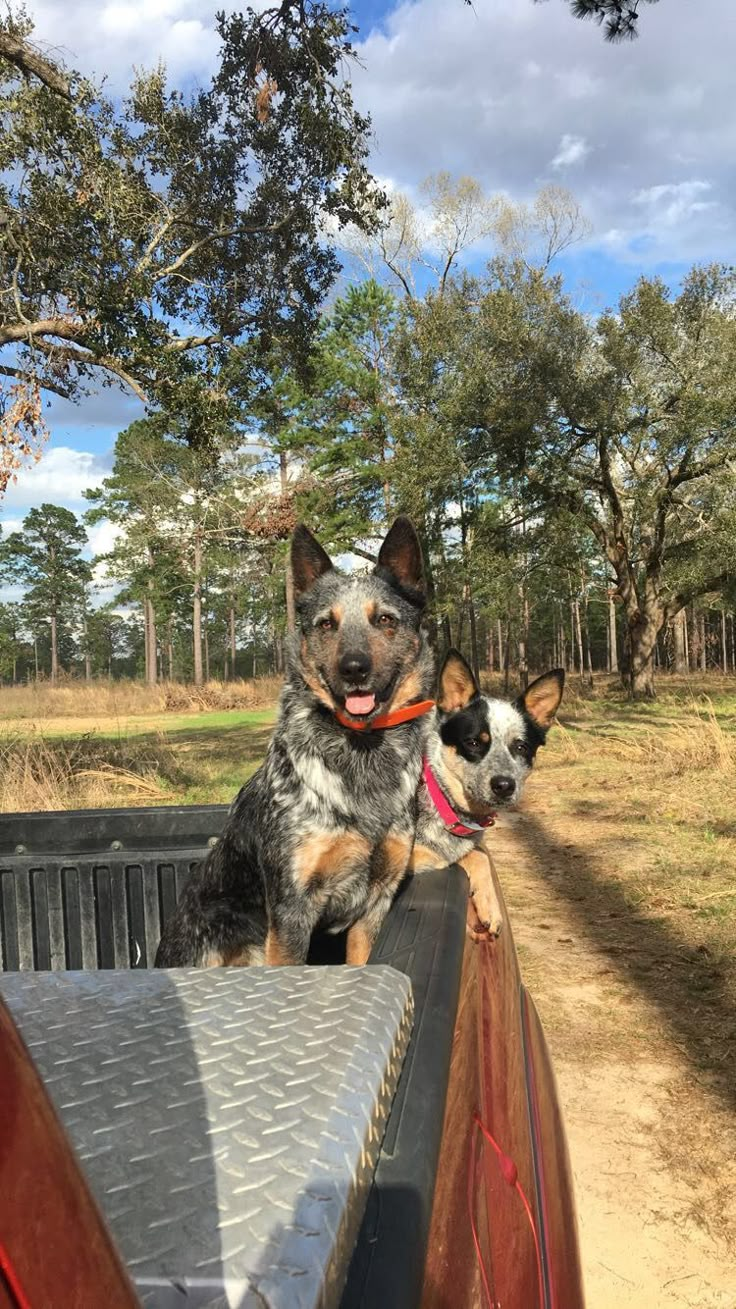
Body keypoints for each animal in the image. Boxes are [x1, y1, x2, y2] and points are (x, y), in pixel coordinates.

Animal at [405, 649, 560, 937]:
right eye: (474, 742)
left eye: (521, 747)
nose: (504, 785)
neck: (438, 796)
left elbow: (479, 856)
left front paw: (490, 906)